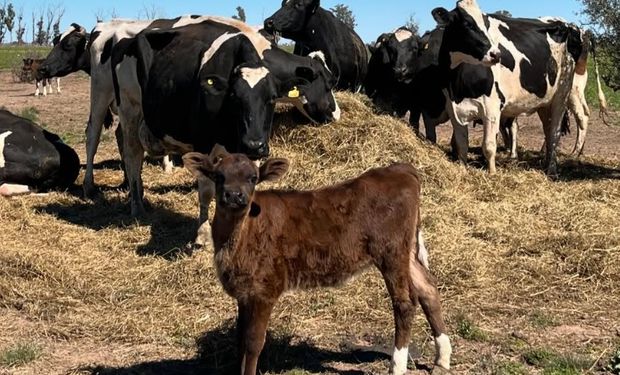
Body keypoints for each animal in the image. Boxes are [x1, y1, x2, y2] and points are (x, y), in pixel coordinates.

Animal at [182, 146, 452, 375]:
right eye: (219, 176)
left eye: (253, 178)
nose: (234, 196)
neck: (239, 236)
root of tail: (399, 170)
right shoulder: (244, 293)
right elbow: (239, 340)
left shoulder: (264, 290)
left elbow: (253, 343)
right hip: (405, 252)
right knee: (428, 287)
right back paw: (442, 358)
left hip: (391, 251)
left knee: (405, 302)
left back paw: (397, 366)